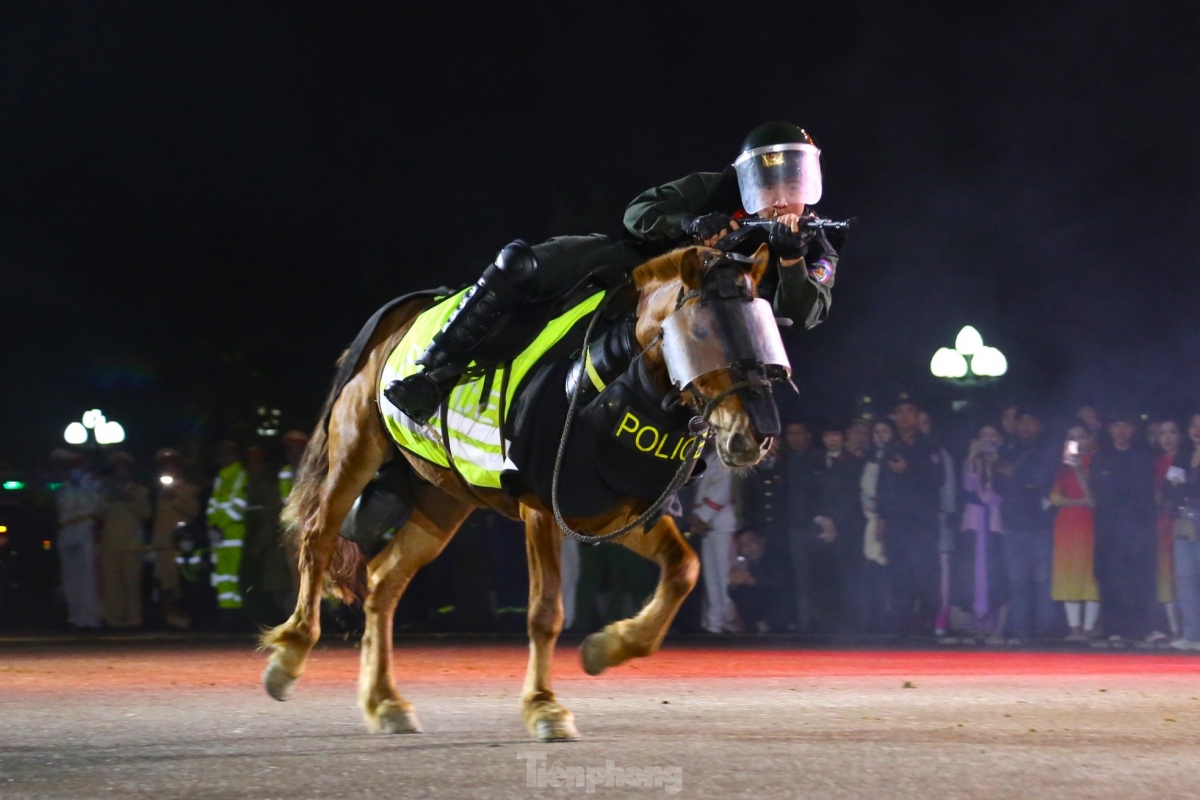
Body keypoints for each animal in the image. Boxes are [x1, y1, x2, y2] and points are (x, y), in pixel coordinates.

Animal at [260, 243, 779, 742]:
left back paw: (385, 701)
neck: (601, 384)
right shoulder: (541, 510)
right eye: (702, 333)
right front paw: (544, 706)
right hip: (356, 449)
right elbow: (545, 611)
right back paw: (290, 656)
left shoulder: (615, 513)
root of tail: (403, 311)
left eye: (764, 330)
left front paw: (608, 646)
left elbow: (683, 570)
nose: (755, 434)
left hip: (444, 500)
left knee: (384, 580)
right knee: (318, 538)